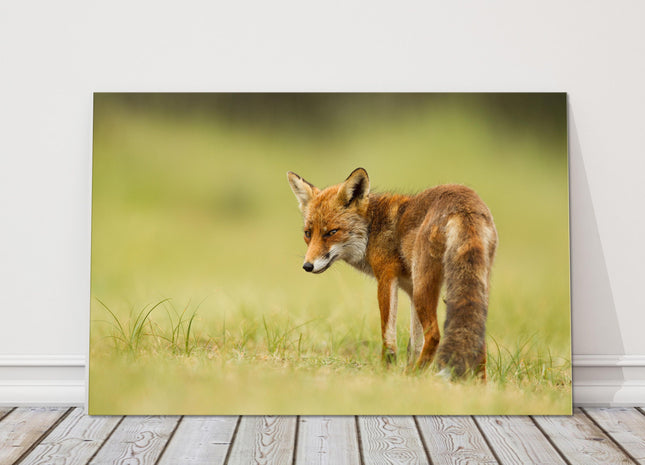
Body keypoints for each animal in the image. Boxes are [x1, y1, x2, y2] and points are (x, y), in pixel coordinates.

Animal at [287, 167, 497, 379]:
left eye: (331, 232)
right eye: (307, 233)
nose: (308, 265)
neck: (372, 228)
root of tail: (464, 202)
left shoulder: (387, 277)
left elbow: (388, 335)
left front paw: (387, 371)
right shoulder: (410, 290)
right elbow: (414, 344)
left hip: (424, 288)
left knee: (434, 335)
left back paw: (415, 375)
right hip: (471, 287)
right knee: (478, 337)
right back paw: (477, 382)